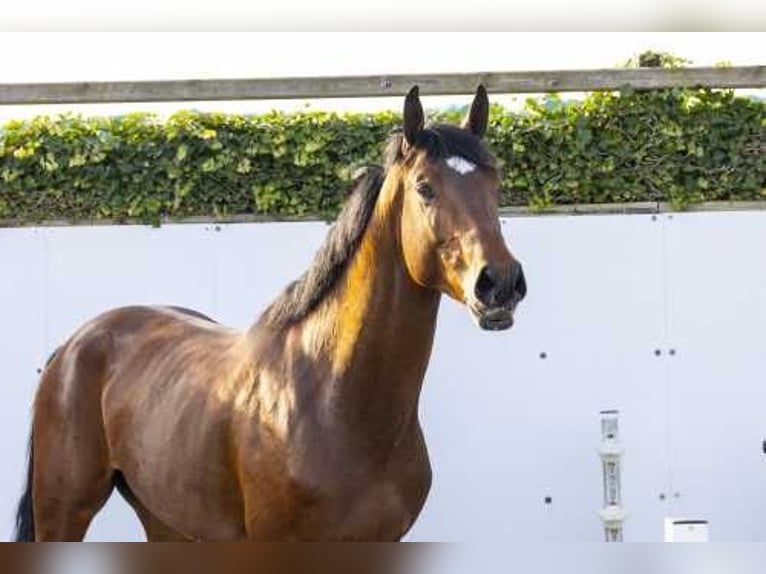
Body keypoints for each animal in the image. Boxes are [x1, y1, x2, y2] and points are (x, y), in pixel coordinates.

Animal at [13, 84, 528, 540]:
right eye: (425, 187)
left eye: (495, 181)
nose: (499, 282)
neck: (335, 402)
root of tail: (74, 345)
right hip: (64, 513)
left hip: (166, 519)